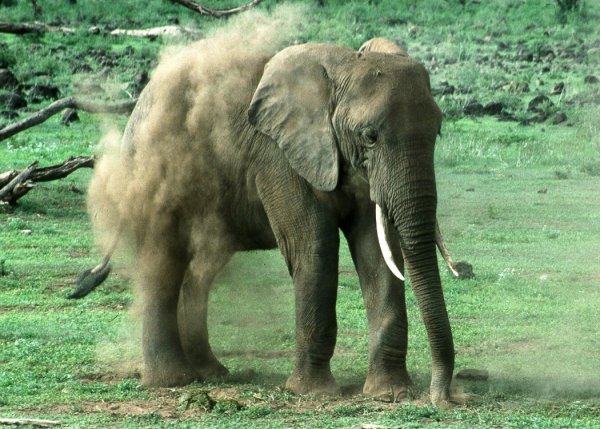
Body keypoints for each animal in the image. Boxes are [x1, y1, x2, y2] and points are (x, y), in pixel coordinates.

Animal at [83, 34, 454, 404]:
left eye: (437, 131)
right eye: (370, 136)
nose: (442, 399)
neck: (341, 68)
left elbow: (376, 252)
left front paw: (390, 393)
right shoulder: (278, 156)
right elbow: (313, 245)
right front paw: (313, 392)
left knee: (201, 270)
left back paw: (211, 373)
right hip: (153, 176)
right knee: (163, 262)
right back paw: (172, 380)